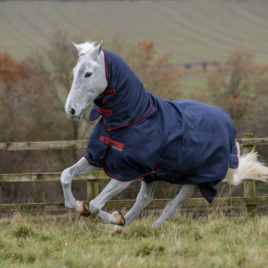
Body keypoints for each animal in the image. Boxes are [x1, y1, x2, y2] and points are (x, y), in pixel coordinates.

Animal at [61, 40, 268, 233]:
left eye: (88, 74)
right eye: (74, 71)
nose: (70, 110)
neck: (130, 118)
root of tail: (228, 124)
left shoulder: (126, 172)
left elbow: (96, 204)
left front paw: (112, 216)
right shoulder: (98, 159)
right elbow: (66, 176)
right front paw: (80, 207)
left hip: (196, 180)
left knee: (171, 207)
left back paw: (143, 228)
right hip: (153, 175)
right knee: (144, 199)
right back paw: (119, 229)